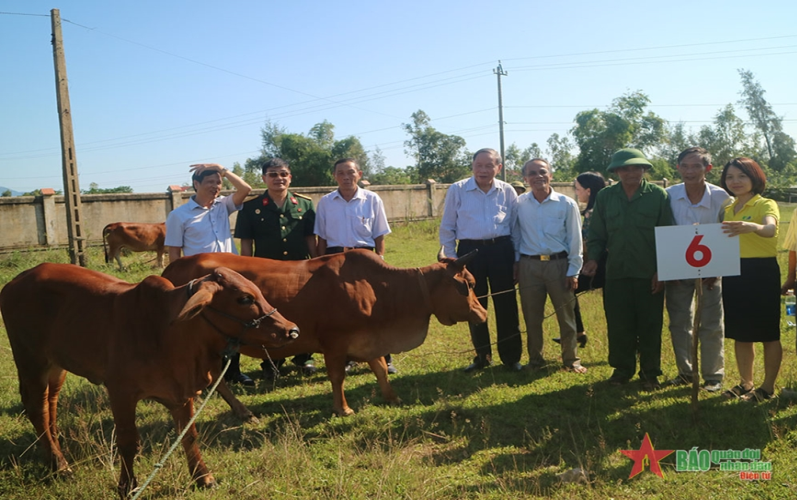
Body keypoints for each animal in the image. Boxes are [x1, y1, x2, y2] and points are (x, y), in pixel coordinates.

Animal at [0, 264, 298, 498]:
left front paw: (203, 477)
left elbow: (189, 435)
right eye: (244, 299)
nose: (291, 330)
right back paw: (61, 466)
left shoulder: (181, 392)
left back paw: (54, 456)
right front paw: (127, 486)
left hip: (56, 367)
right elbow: (128, 442)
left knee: (50, 407)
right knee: (37, 409)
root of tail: (17, 280)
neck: (168, 330)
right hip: (31, 360)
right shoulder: (120, 392)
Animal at [162, 248, 486, 416]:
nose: (483, 314)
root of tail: (172, 268)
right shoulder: (335, 343)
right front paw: (343, 409)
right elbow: (337, 376)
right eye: (468, 284)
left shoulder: (369, 340)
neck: (378, 289)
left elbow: (380, 368)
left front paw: (392, 397)